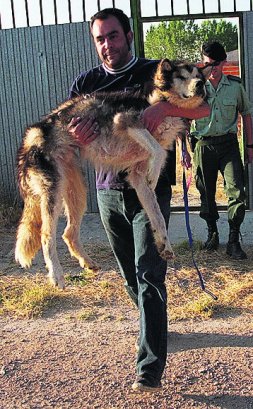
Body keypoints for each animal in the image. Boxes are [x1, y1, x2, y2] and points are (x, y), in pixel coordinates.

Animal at [14, 59, 211, 286]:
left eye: (199, 76)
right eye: (182, 76)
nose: (200, 85)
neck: (161, 102)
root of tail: (33, 133)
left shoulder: (137, 178)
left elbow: (158, 216)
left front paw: (164, 245)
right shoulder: (125, 120)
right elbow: (158, 150)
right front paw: (154, 172)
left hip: (77, 193)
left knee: (68, 233)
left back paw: (88, 263)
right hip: (53, 194)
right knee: (46, 236)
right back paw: (56, 275)